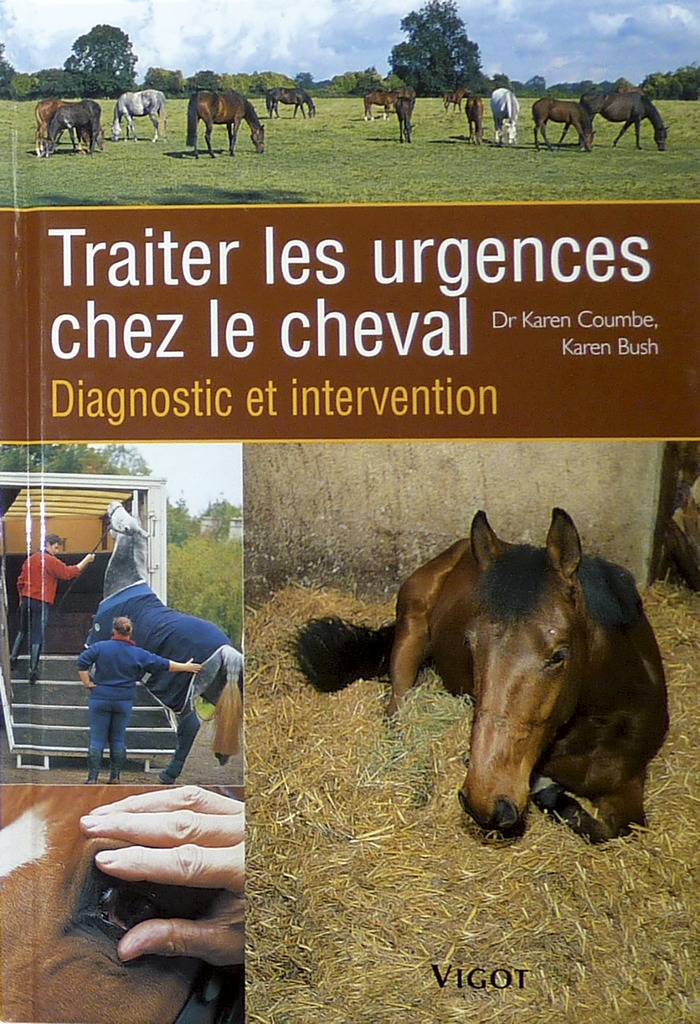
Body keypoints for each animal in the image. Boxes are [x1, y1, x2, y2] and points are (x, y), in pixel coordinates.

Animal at [85, 503, 243, 783]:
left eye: (123, 520)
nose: (113, 505)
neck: (123, 587)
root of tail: (226, 647)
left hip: (183, 692)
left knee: (190, 726)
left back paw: (168, 774)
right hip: (215, 689)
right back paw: (222, 755)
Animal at [295, 509, 668, 843]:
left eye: (559, 655)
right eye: (470, 644)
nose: (485, 801)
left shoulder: (628, 782)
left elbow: (620, 829)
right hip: (410, 634)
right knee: (397, 710)